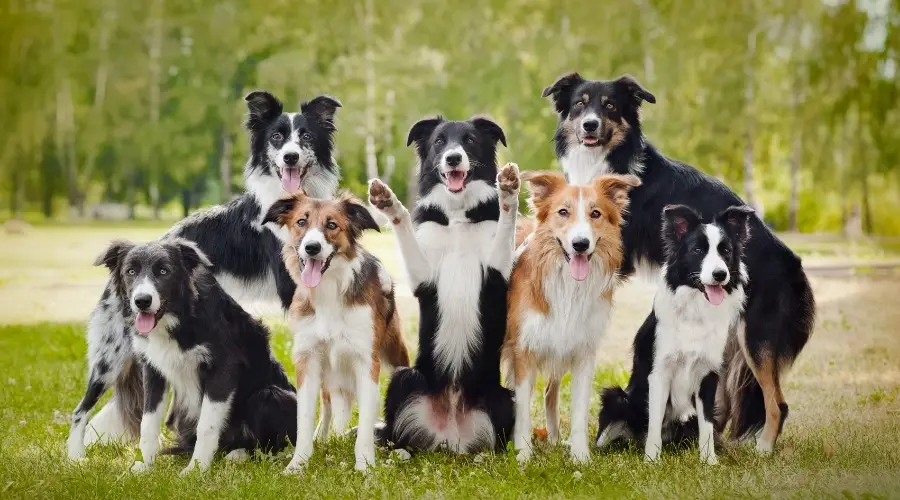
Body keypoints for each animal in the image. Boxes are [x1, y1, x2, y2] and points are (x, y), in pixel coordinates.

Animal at [93, 236, 294, 474]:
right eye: (131, 271)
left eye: (164, 271)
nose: (142, 301)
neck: (179, 317)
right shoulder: (152, 370)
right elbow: (148, 423)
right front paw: (144, 466)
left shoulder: (223, 367)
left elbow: (207, 425)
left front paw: (195, 470)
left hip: (270, 397)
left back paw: (239, 455)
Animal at [262, 191, 410, 472]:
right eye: (301, 222)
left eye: (332, 225)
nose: (312, 248)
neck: (329, 291)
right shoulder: (308, 359)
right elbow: (305, 417)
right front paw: (298, 464)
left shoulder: (366, 361)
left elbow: (365, 422)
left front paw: (365, 466)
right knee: (328, 404)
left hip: (396, 355)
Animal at [596, 204, 752, 464]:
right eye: (698, 250)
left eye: (726, 251)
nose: (720, 274)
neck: (695, 312)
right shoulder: (660, 372)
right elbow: (655, 421)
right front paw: (652, 460)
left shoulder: (708, 375)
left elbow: (707, 426)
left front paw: (709, 461)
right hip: (617, 398)